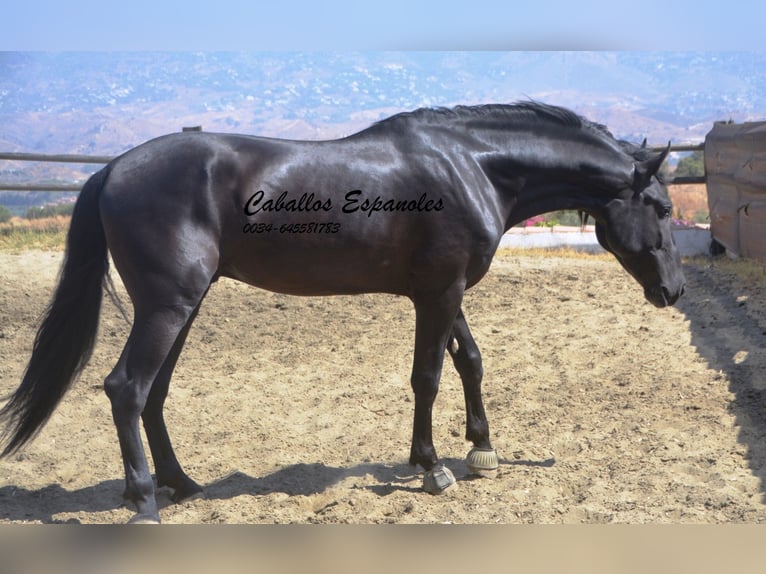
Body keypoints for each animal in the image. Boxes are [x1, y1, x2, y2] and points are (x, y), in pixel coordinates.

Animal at [0, 101, 684, 524]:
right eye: (663, 208)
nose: (673, 291)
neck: (472, 167)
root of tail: (114, 168)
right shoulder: (439, 293)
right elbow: (428, 376)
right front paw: (432, 466)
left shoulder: (447, 290)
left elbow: (470, 361)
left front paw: (481, 449)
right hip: (169, 304)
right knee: (127, 388)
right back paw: (145, 500)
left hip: (182, 306)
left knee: (155, 392)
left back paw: (183, 485)